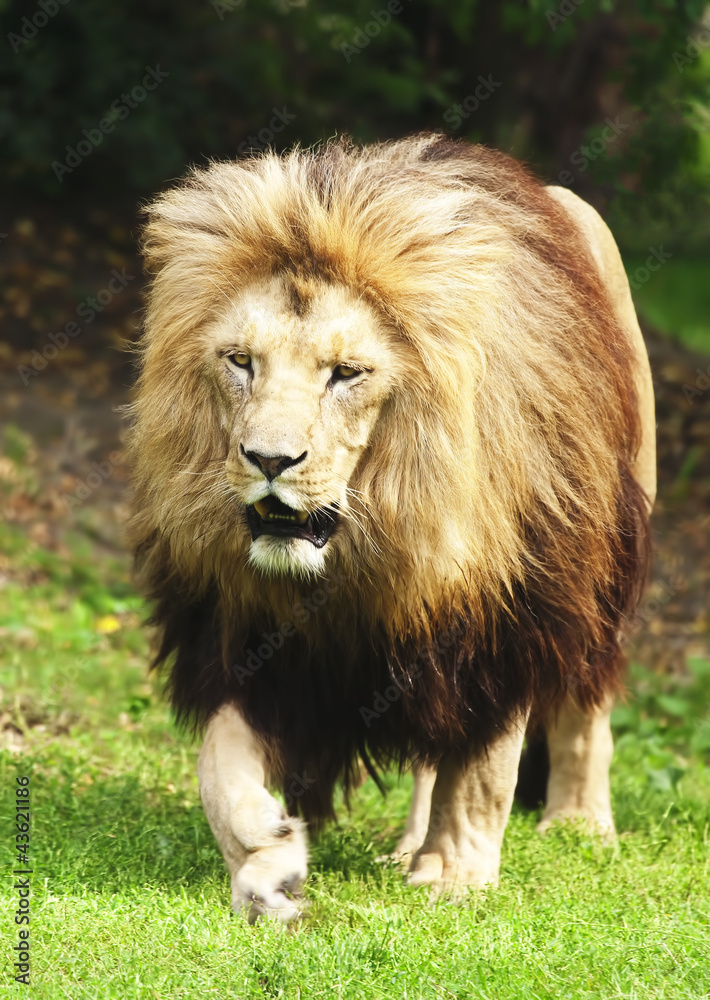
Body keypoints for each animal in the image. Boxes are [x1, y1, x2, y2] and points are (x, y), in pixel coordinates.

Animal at [127, 134, 655, 923]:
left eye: (346, 373)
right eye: (241, 362)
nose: (269, 460)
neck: (361, 559)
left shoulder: (500, 615)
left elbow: (484, 768)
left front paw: (455, 874)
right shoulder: (253, 643)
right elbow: (218, 765)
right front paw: (265, 856)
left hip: (602, 560)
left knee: (584, 699)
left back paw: (578, 826)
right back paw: (407, 844)